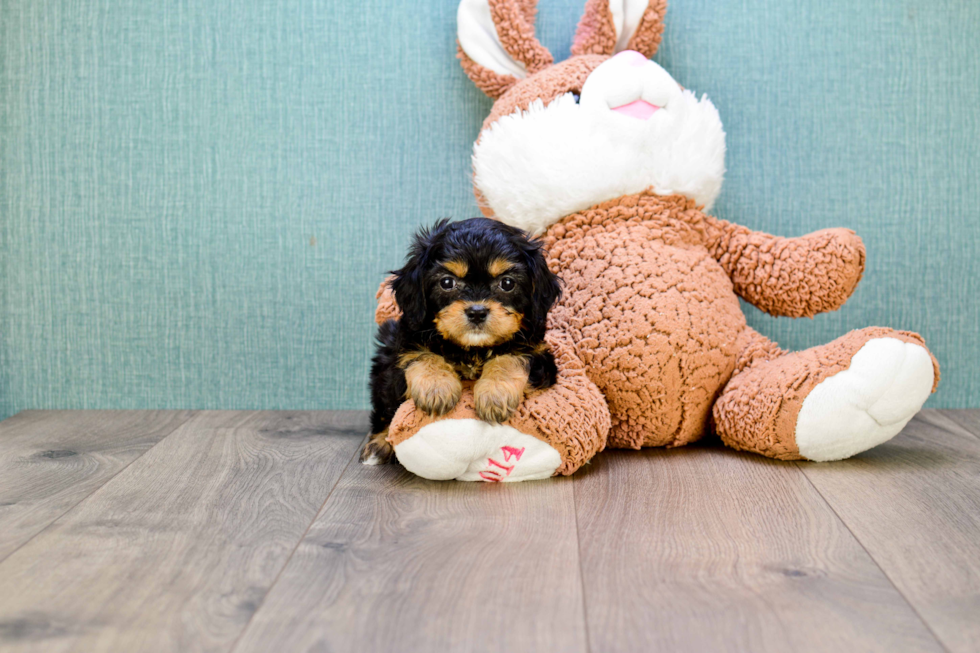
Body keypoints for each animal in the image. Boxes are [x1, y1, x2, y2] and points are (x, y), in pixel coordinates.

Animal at [362, 219, 564, 464]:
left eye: (507, 283)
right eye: (447, 282)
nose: (477, 312)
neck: (472, 349)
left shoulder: (539, 353)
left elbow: (511, 356)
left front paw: (495, 394)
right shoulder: (406, 341)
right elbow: (422, 354)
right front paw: (436, 388)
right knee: (384, 409)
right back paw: (379, 443)